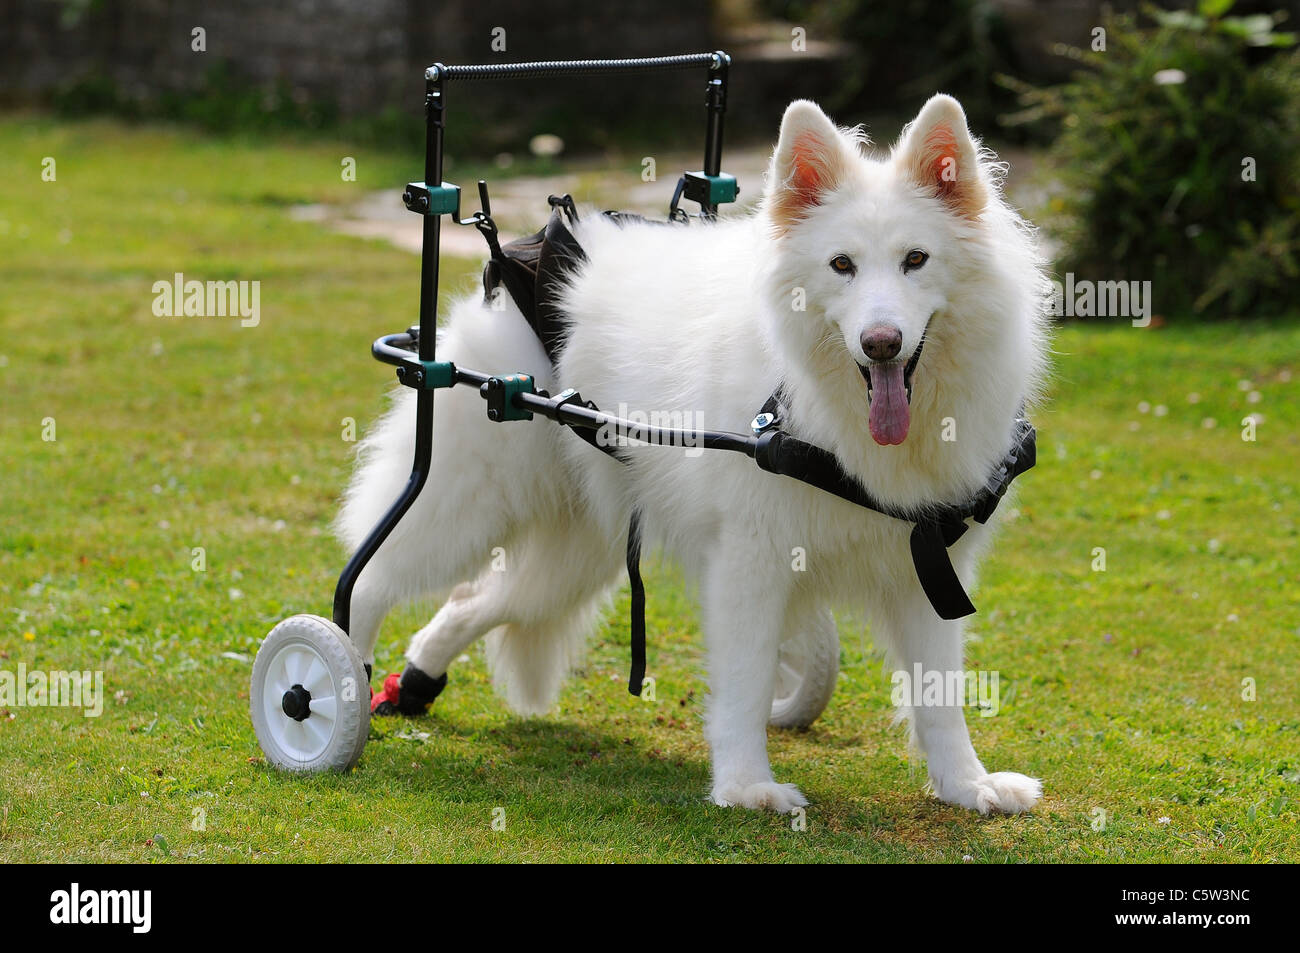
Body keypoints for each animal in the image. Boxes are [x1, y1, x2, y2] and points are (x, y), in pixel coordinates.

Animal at [332, 94, 1045, 811]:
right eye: (841, 265)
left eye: (916, 260)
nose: (881, 343)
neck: (811, 407)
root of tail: (522, 251)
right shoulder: (750, 563)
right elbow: (746, 682)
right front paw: (747, 786)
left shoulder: (926, 568)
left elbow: (939, 694)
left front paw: (967, 784)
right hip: (462, 505)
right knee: (369, 580)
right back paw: (336, 690)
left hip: (575, 557)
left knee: (470, 602)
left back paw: (414, 683)